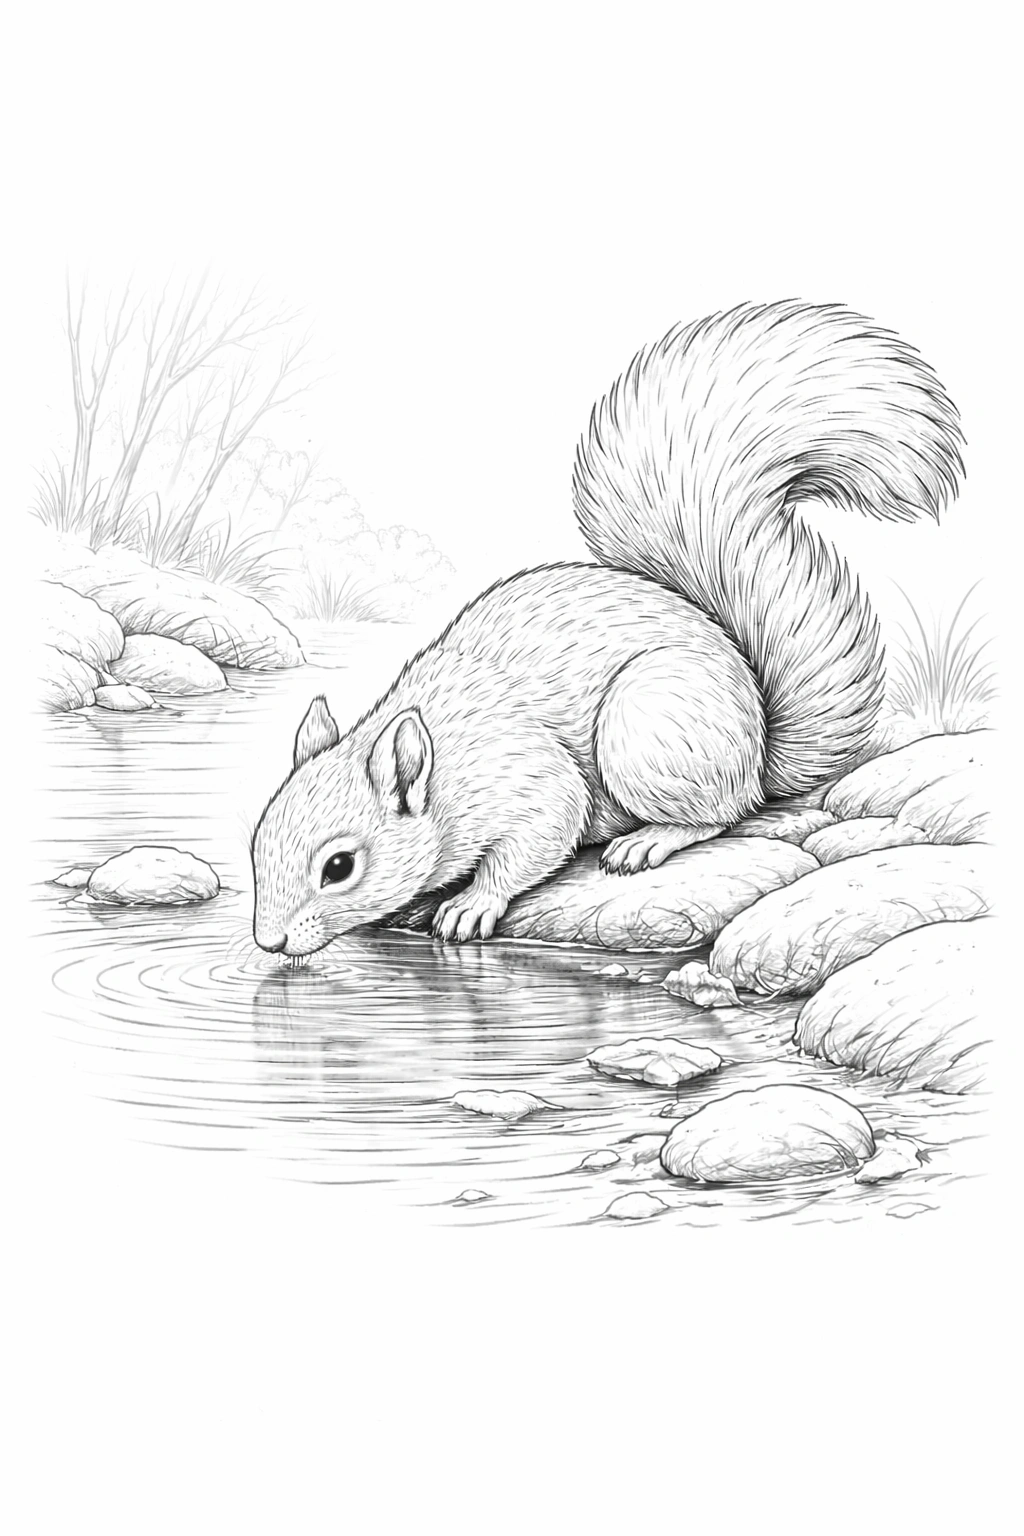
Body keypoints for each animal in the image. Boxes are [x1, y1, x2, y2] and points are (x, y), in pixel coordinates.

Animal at [252, 301, 963, 956]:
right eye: (256, 844)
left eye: (339, 867)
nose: (267, 942)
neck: (450, 767)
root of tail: (760, 750)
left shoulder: (533, 784)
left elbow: (535, 840)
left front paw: (470, 905)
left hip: (648, 728)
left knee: (720, 814)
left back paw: (648, 840)